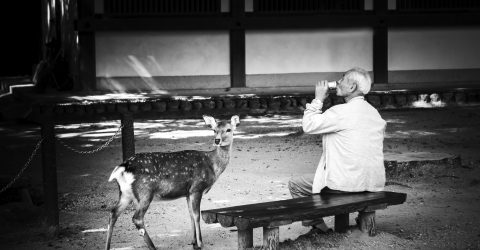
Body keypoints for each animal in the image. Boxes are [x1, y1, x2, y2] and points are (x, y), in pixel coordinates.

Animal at [105, 115, 240, 250]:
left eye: (228, 129)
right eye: (214, 130)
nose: (217, 140)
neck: (212, 164)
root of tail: (123, 167)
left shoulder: (187, 192)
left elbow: (191, 215)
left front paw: (193, 242)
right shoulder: (197, 188)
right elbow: (197, 215)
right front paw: (200, 244)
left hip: (125, 193)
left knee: (113, 213)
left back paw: (108, 246)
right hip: (145, 192)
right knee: (137, 218)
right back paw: (153, 247)